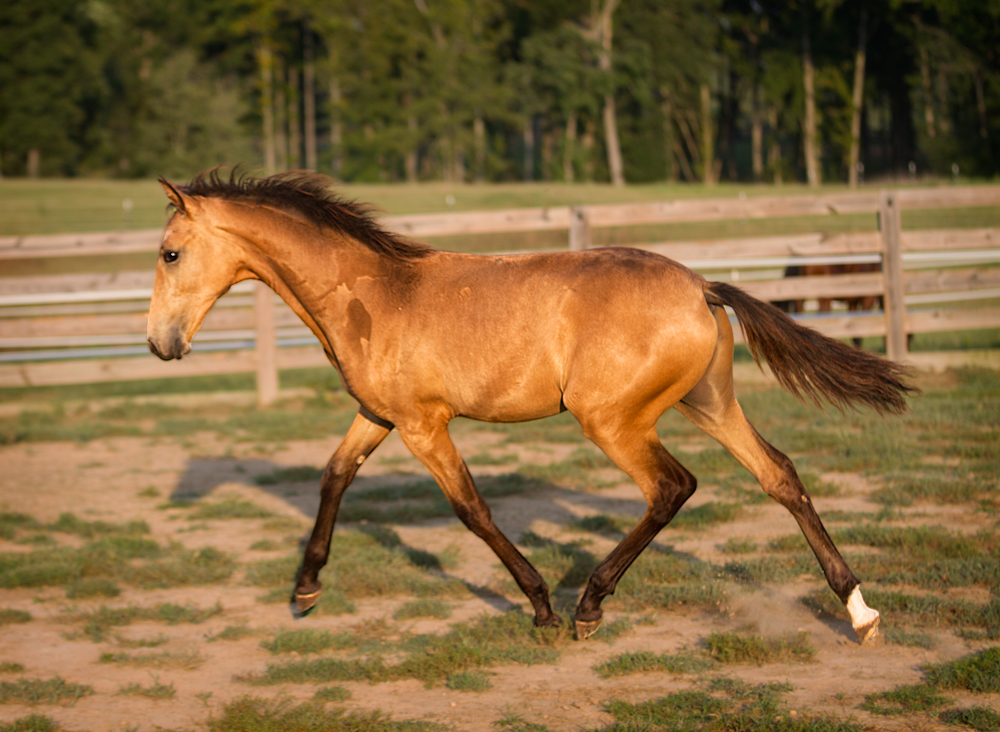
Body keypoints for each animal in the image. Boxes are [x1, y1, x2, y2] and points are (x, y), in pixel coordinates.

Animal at [145, 169, 916, 644]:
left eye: (171, 253)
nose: (159, 343)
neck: (374, 294)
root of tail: (703, 286)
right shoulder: (381, 416)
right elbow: (334, 476)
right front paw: (304, 591)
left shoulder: (424, 426)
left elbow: (472, 510)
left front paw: (541, 606)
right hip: (709, 402)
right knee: (779, 475)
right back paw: (860, 611)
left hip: (613, 421)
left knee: (673, 486)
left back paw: (589, 605)